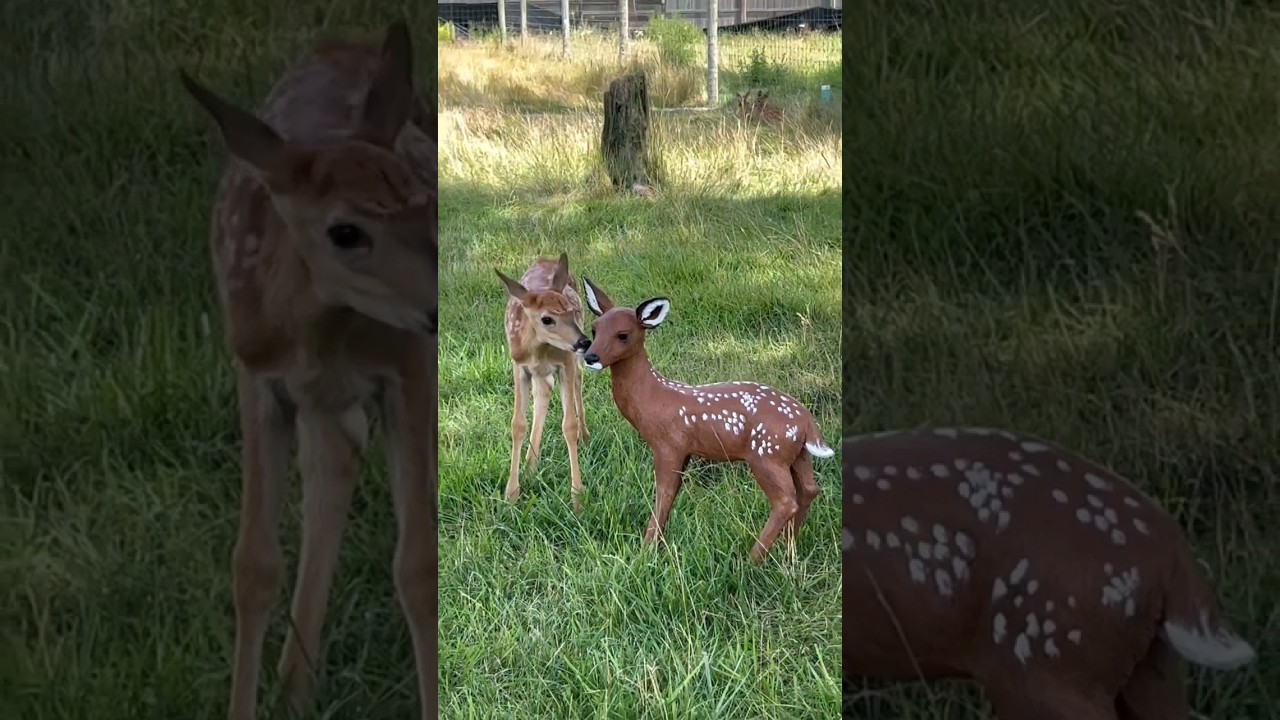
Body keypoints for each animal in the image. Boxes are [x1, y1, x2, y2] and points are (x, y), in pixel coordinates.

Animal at [178, 20, 438, 720]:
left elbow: (417, 568)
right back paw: (294, 687)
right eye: (345, 231)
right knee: (334, 467)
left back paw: (297, 684)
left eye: (426, 202)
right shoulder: (255, 376)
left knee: (336, 467)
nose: (437, 306)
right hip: (315, 399)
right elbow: (252, 566)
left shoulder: (409, 369)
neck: (318, 332)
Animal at [496, 252, 592, 512]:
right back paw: (530, 466)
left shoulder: (565, 362)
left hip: (569, 361)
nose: (584, 341)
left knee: (578, 379)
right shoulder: (519, 366)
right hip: (539, 372)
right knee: (544, 392)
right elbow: (517, 425)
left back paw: (585, 435)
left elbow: (568, 425)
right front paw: (511, 494)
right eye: (547, 319)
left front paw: (577, 498)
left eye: (570, 310)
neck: (538, 349)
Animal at [579, 278, 834, 563]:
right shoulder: (685, 451)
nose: (590, 358)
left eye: (623, 335)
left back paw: (751, 560)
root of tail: (806, 422)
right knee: (809, 490)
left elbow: (664, 493)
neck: (654, 397)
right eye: (594, 329)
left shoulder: (669, 444)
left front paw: (646, 550)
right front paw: (658, 546)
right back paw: (789, 549)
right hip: (796, 455)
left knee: (786, 501)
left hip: (766, 455)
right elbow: (674, 491)